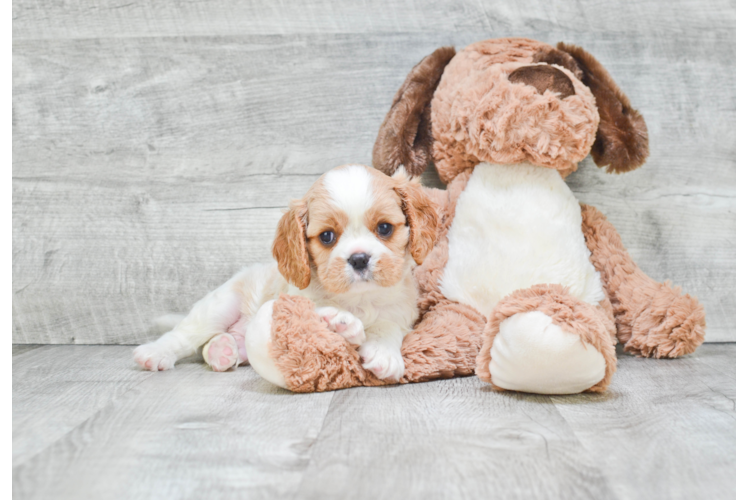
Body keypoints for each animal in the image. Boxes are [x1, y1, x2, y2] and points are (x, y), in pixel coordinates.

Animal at [134, 164, 438, 378]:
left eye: (384, 228)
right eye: (327, 236)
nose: (359, 259)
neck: (358, 299)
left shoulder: (400, 313)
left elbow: (387, 327)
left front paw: (384, 354)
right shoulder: (291, 300)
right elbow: (311, 310)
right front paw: (340, 321)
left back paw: (223, 350)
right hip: (220, 304)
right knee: (186, 335)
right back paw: (156, 353)